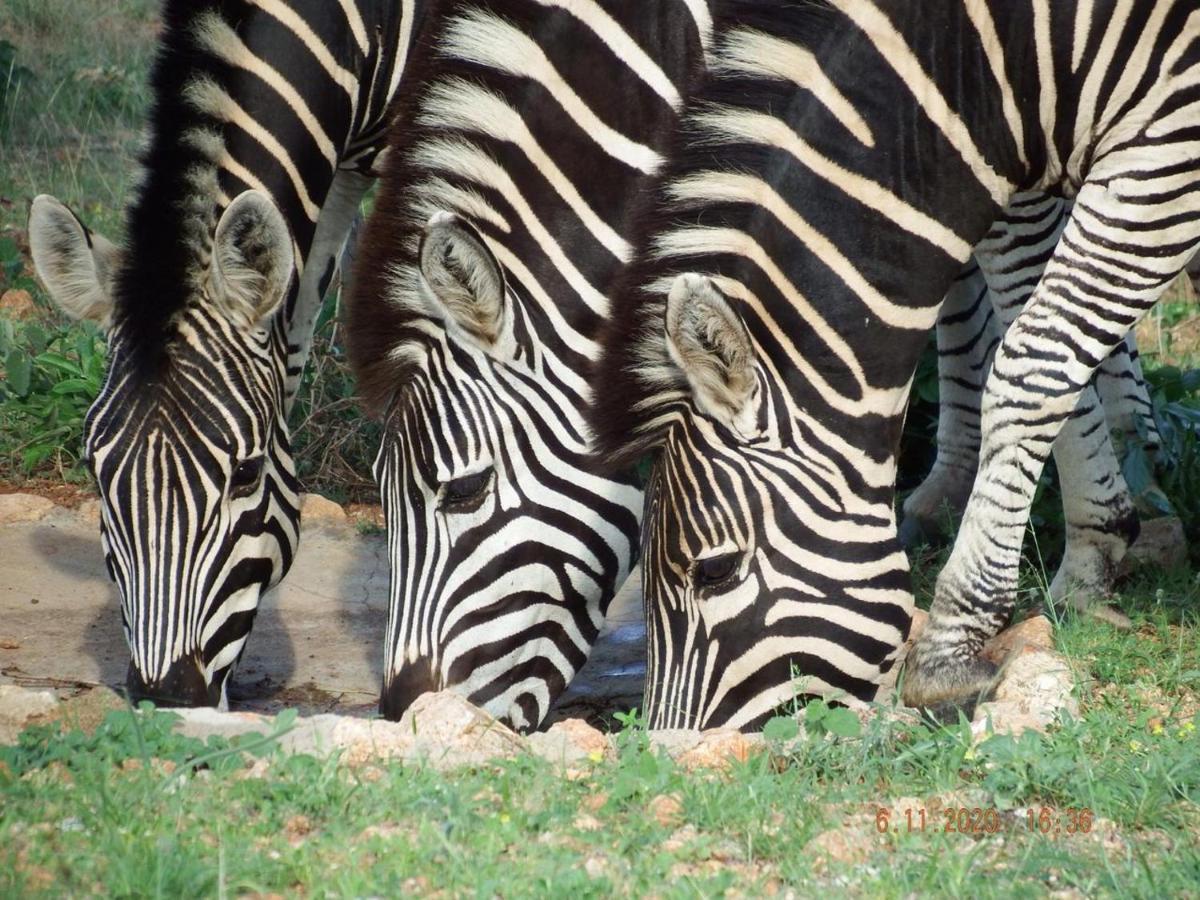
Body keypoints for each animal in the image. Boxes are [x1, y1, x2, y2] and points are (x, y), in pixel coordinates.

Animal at [24, 0, 432, 710]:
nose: (169, 700)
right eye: (96, 473)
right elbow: (292, 331)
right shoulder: (339, 167)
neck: (371, 30)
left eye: (245, 475)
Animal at [590, 0, 1200, 734]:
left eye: (715, 572)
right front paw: (1092, 558)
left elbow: (1034, 358)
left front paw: (947, 652)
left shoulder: (1169, 140)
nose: (669, 749)